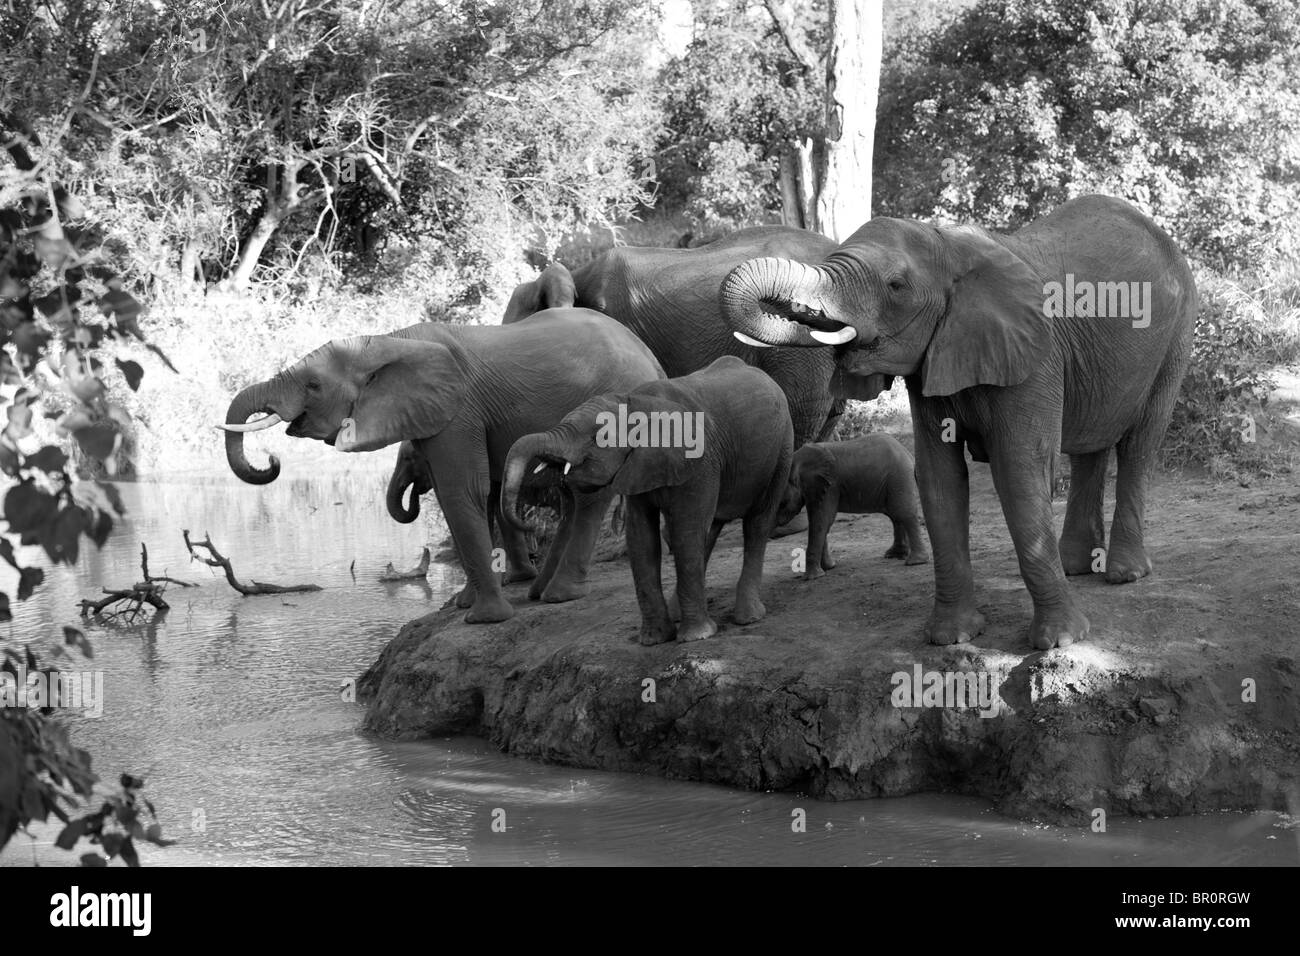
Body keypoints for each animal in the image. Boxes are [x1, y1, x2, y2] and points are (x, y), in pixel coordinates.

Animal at [220, 310, 660, 624]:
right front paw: (462, 605)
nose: (272, 460)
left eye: (313, 385)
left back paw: (559, 595)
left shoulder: (459, 409)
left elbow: (460, 490)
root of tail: (651, 357)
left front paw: (484, 620)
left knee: (589, 491)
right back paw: (540, 592)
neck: (386, 341)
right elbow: (466, 498)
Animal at [504, 356, 790, 647]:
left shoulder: (699, 459)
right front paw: (654, 640)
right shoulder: (637, 467)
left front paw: (697, 637)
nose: (534, 527)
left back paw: (748, 617)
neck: (636, 402)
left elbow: (686, 531)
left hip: (781, 450)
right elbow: (642, 538)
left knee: (756, 524)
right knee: (710, 529)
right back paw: (681, 613)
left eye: (597, 437)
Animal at [774, 434, 930, 582]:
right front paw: (829, 568)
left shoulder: (830, 486)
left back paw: (915, 562)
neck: (797, 460)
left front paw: (812, 578)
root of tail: (907, 453)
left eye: (782, 503)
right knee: (895, 515)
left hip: (899, 477)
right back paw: (894, 555)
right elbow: (820, 521)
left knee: (904, 513)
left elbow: (822, 520)